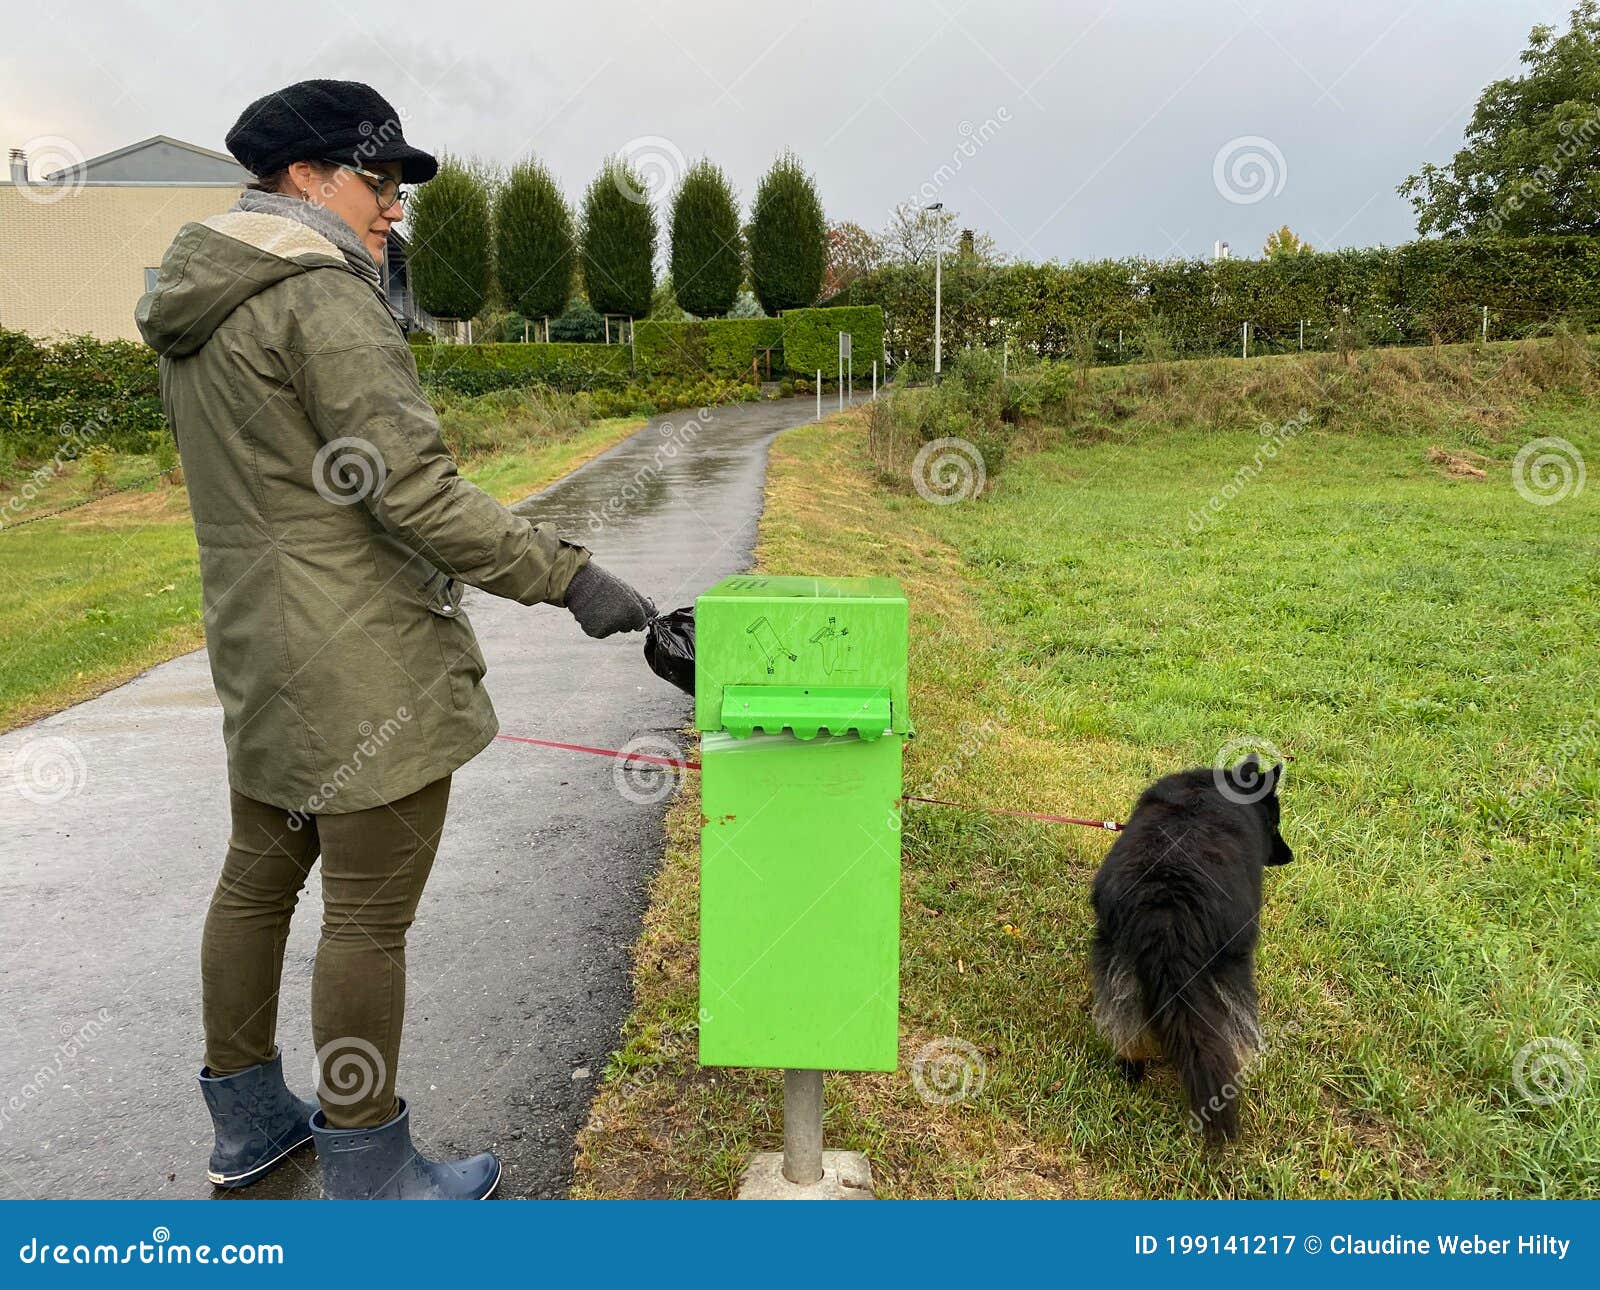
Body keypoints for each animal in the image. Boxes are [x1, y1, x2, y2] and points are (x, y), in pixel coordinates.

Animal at [1094, 758, 1292, 1139]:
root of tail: (1167, 908)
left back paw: (1131, 1066)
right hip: (1232, 966)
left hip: (1116, 956)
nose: (1289, 856)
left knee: (1123, 1019)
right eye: (1274, 821)